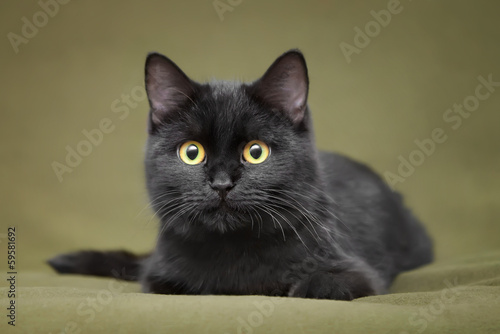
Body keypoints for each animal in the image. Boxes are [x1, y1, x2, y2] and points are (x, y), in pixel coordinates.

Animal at [50, 49, 434, 300]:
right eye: (192, 152)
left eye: (256, 151)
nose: (221, 184)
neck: (233, 253)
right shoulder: (160, 275)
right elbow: (175, 285)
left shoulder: (358, 273)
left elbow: (323, 286)